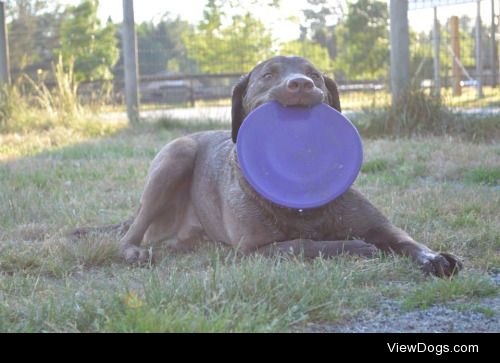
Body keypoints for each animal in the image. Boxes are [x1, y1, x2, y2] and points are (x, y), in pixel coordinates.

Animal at [119, 56, 462, 278]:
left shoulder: (380, 227)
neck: (302, 205)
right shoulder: (254, 249)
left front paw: (433, 257)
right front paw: (354, 247)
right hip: (177, 156)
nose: (300, 83)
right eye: (268, 75)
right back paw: (133, 251)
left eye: (315, 75)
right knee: (130, 234)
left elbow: (405, 240)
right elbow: (304, 244)